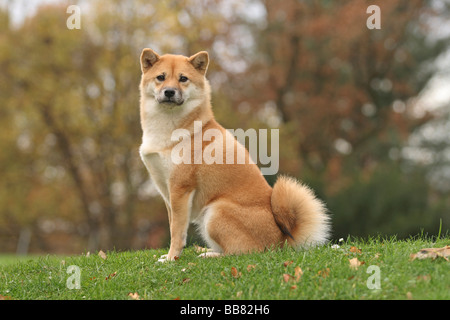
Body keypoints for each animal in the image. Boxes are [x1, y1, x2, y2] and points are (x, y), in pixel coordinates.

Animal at [138, 48, 330, 262]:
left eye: (183, 78)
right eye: (160, 77)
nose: (169, 92)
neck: (169, 127)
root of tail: (280, 241)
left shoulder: (180, 189)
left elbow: (177, 231)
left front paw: (172, 258)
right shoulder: (167, 191)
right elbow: (173, 226)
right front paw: (170, 256)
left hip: (215, 212)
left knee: (240, 252)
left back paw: (210, 256)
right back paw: (206, 250)